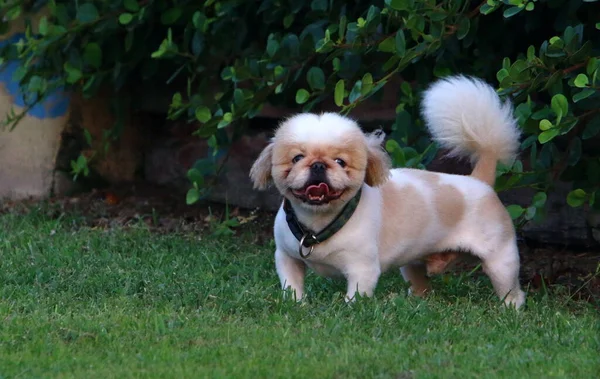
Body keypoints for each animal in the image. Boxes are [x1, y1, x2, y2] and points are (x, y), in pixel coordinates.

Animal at [248, 75, 524, 310]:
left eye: (340, 162)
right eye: (296, 158)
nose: (318, 165)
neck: (318, 223)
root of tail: (479, 180)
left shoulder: (362, 270)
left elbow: (355, 297)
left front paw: (348, 313)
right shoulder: (286, 258)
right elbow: (292, 287)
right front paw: (296, 305)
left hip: (501, 260)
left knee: (513, 292)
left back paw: (510, 310)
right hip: (413, 264)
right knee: (421, 287)